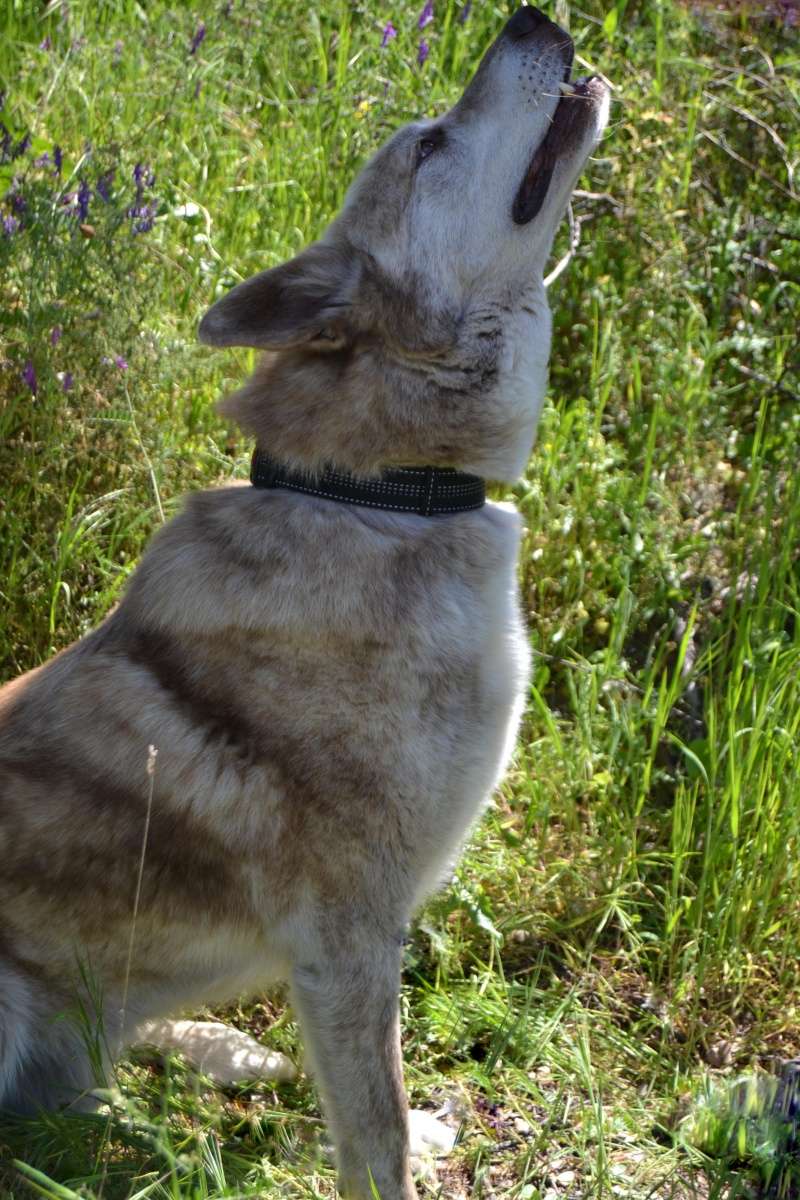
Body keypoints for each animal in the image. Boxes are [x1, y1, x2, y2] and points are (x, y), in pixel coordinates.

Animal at [0, 11, 609, 1200]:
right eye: (428, 145)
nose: (530, 18)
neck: (381, 496)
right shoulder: (350, 933)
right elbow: (371, 1126)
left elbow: (380, 1105)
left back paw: (221, 1055)